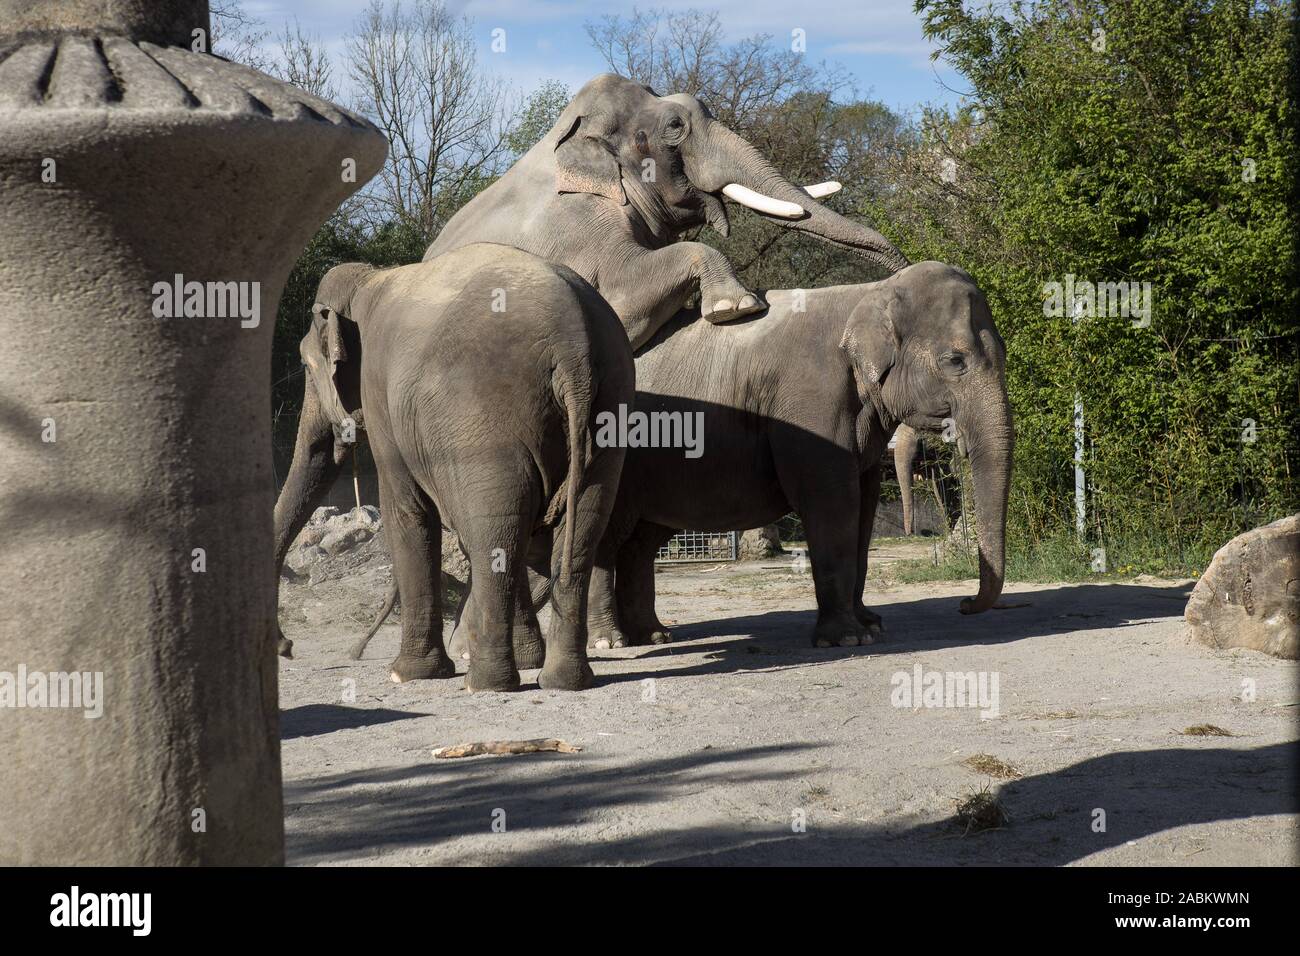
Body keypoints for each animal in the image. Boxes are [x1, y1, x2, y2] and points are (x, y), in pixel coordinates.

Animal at [273, 239, 634, 686]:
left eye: (307, 367)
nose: (287, 648)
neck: (370, 280)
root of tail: (574, 347)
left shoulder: (382, 398)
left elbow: (405, 512)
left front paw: (407, 675)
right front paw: (525, 660)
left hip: (485, 419)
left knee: (497, 525)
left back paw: (484, 683)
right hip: (609, 404)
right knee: (581, 521)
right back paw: (562, 680)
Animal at [587, 261, 1013, 650]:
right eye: (954, 361)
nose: (964, 603)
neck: (868, 293)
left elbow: (865, 504)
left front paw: (871, 625)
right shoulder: (811, 403)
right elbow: (831, 500)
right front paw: (847, 639)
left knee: (641, 541)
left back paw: (653, 635)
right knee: (608, 534)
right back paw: (611, 641)